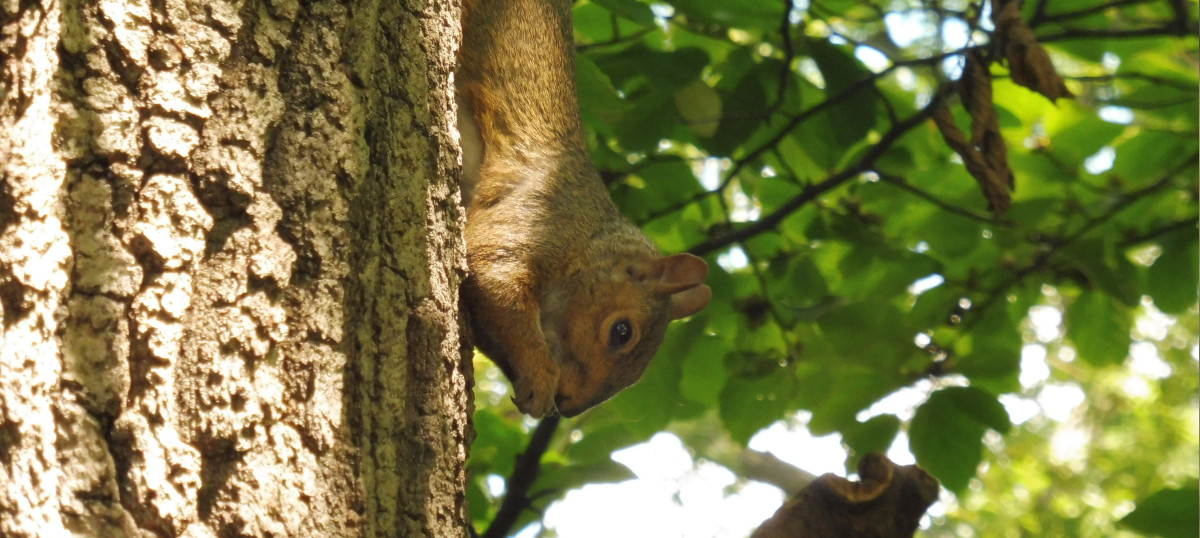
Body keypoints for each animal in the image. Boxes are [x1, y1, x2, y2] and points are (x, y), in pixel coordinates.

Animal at [456, 0, 711, 418]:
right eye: (622, 332)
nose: (570, 405)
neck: (587, 238)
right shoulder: (539, 216)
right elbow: (494, 277)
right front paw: (541, 377)